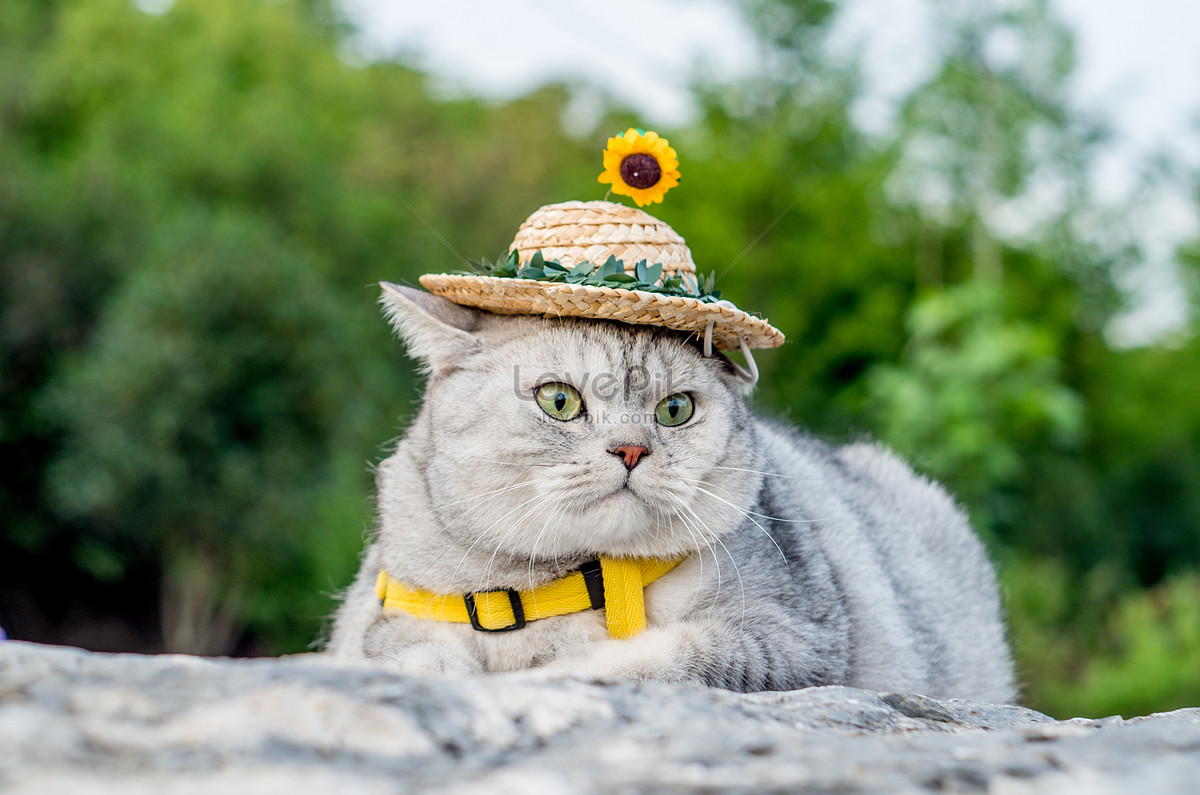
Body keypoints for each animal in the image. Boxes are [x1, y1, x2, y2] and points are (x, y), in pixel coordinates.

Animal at [326, 282, 1012, 706]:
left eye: (675, 410)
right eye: (559, 400)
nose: (631, 451)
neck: (578, 581)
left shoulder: (793, 637)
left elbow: (660, 657)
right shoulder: (388, 618)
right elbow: (413, 654)